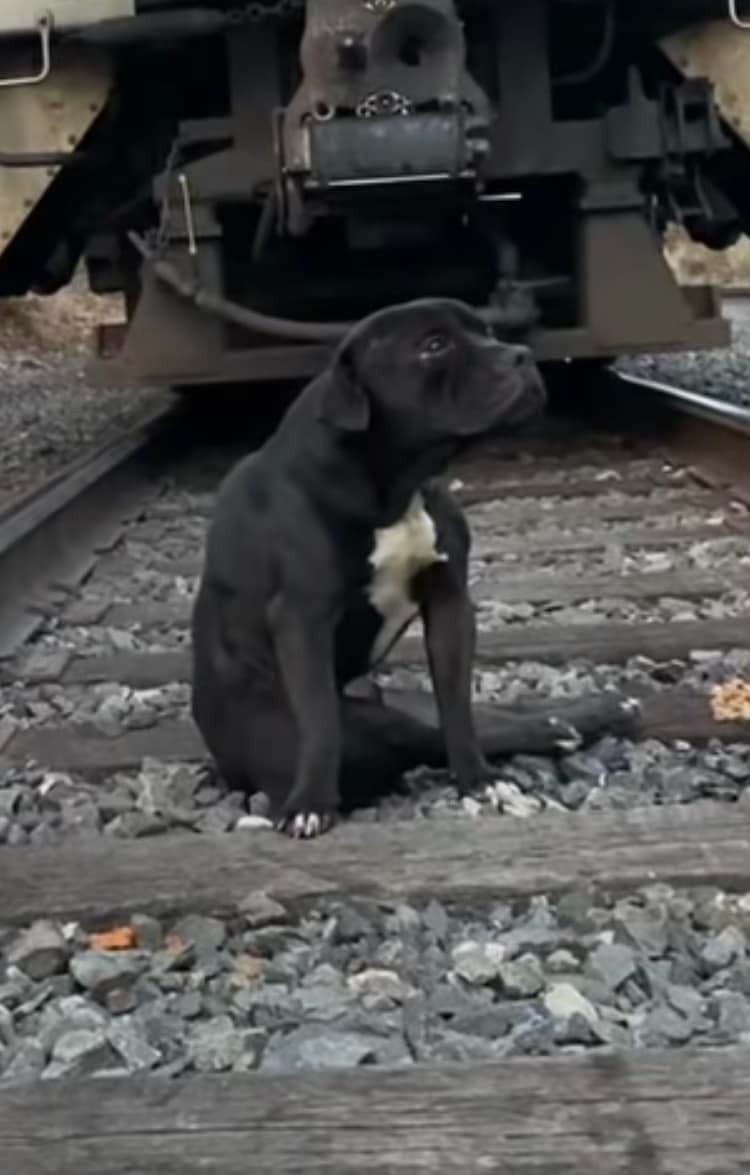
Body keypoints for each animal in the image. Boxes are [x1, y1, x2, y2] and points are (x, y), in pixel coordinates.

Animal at [192, 300, 634, 836]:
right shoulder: (303, 618)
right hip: (370, 723)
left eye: (487, 331)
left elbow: (457, 705)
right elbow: (319, 720)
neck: (396, 485)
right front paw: (310, 803)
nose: (521, 355)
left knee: (476, 720)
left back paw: (591, 713)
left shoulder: (449, 602)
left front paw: (479, 780)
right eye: (433, 345)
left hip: (401, 708)